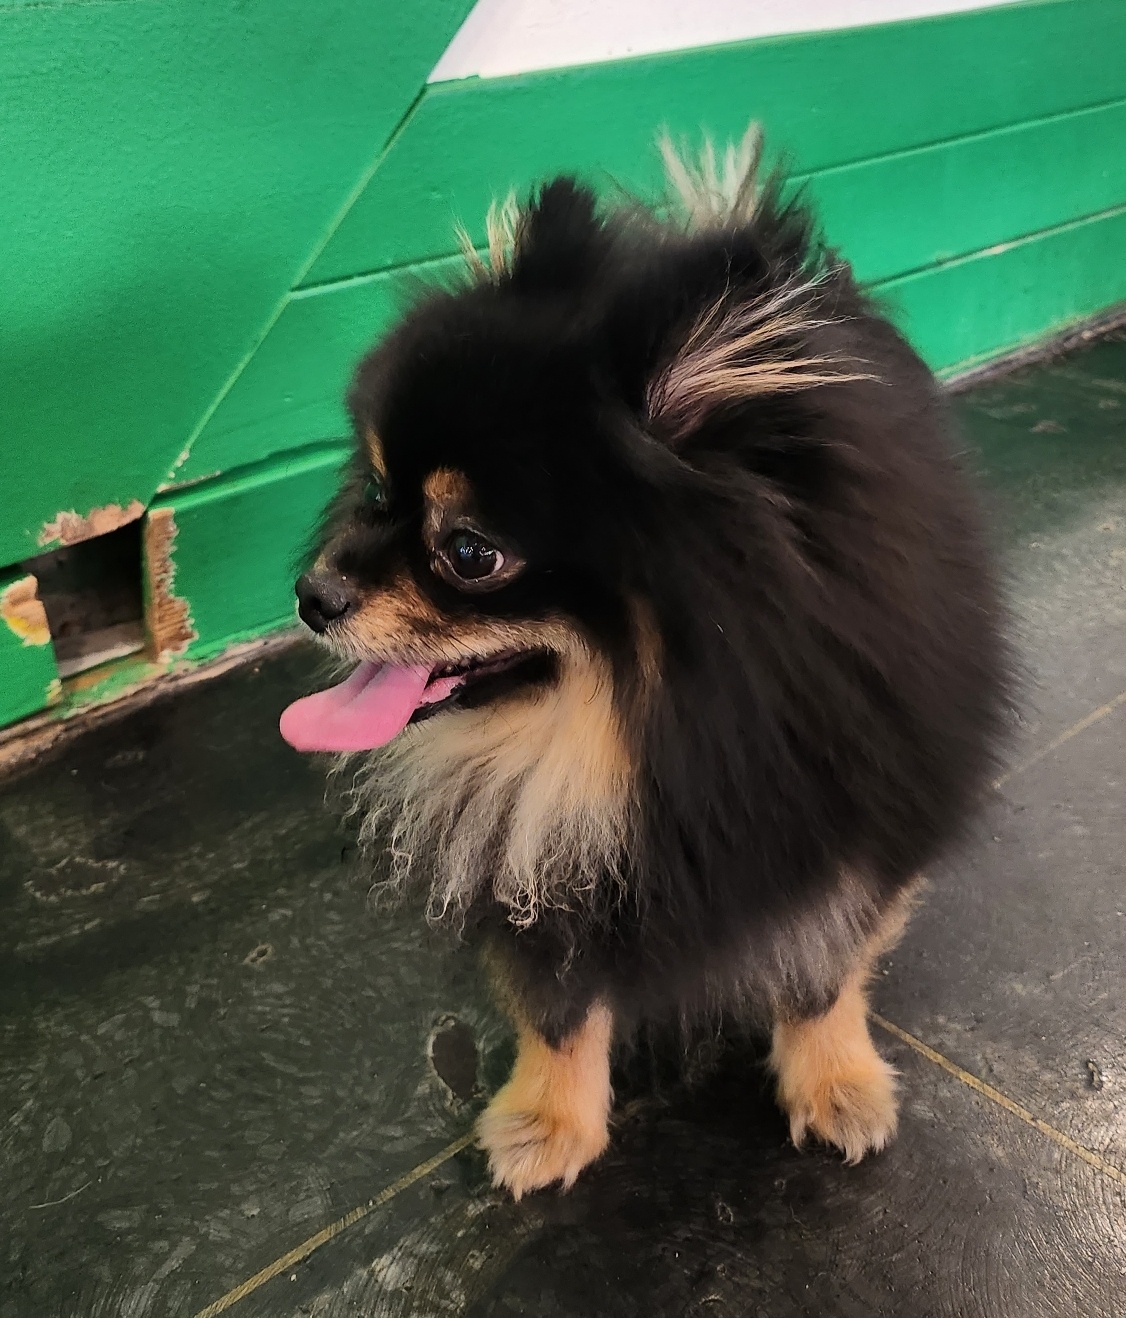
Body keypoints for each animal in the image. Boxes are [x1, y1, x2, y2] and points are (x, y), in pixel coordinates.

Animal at [280, 127, 1010, 1198]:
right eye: (375, 490)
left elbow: (820, 972)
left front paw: (834, 1079)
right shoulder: (536, 849)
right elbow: (557, 1005)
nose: (311, 591)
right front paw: (549, 1118)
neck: (642, 735)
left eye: (470, 551)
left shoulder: (852, 820)